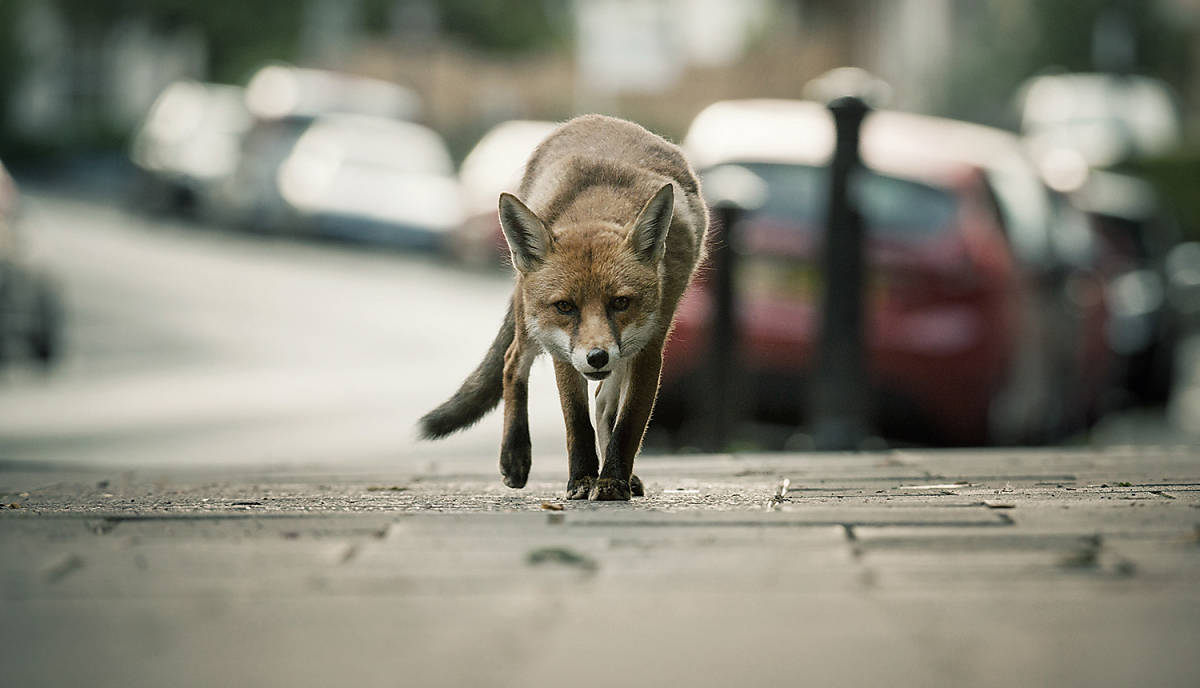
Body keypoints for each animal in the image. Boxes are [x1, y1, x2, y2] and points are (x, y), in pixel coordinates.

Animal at [417, 112, 705, 499]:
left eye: (621, 302)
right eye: (565, 306)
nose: (596, 357)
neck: (598, 208)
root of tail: (597, 118)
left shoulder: (650, 346)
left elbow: (627, 424)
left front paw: (612, 481)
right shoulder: (561, 348)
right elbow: (576, 421)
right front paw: (582, 479)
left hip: (624, 350)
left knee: (603, 402)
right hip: (529, 319)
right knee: (512, 362)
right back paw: (515, 455)